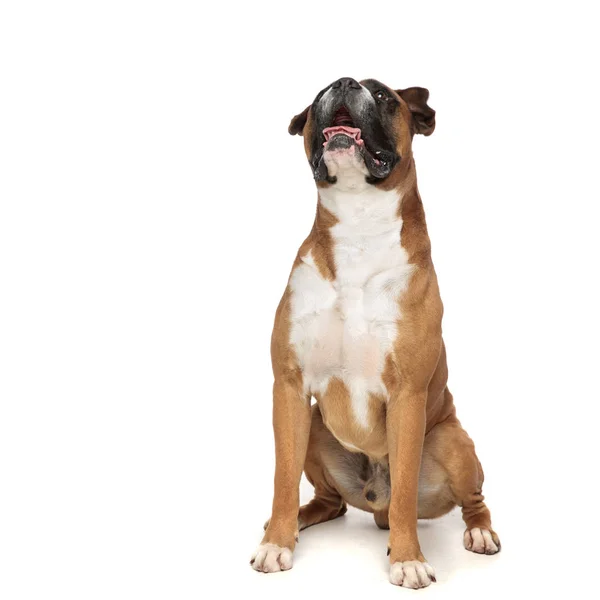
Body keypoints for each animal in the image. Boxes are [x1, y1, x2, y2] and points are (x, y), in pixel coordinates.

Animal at [251, 77, 500, 588]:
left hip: (452, 441)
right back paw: (296, 520)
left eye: (383, 95)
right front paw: (276, 543)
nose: (343, 82)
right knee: (330, 502)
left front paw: (408, 559)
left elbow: (404, 490)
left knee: (470, 502)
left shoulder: (407, 397)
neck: (358, 225)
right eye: (319, 94)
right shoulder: (289, 388)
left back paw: (480, 533)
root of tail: (374, 505)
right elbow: (282, 479)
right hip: (315, 428)